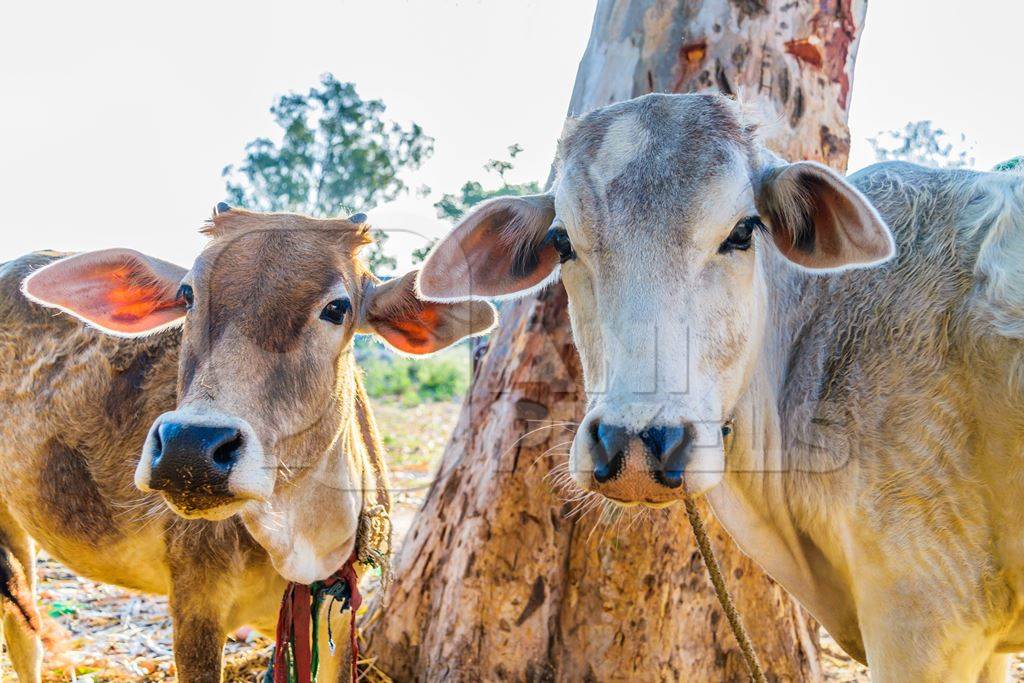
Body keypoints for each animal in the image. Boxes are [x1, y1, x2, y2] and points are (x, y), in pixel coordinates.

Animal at [0, 209, 495, 683]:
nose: (188, 449)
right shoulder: (195, 604)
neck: (304, 540)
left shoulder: (337, 613)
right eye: (187, 295)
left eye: (338, 308)